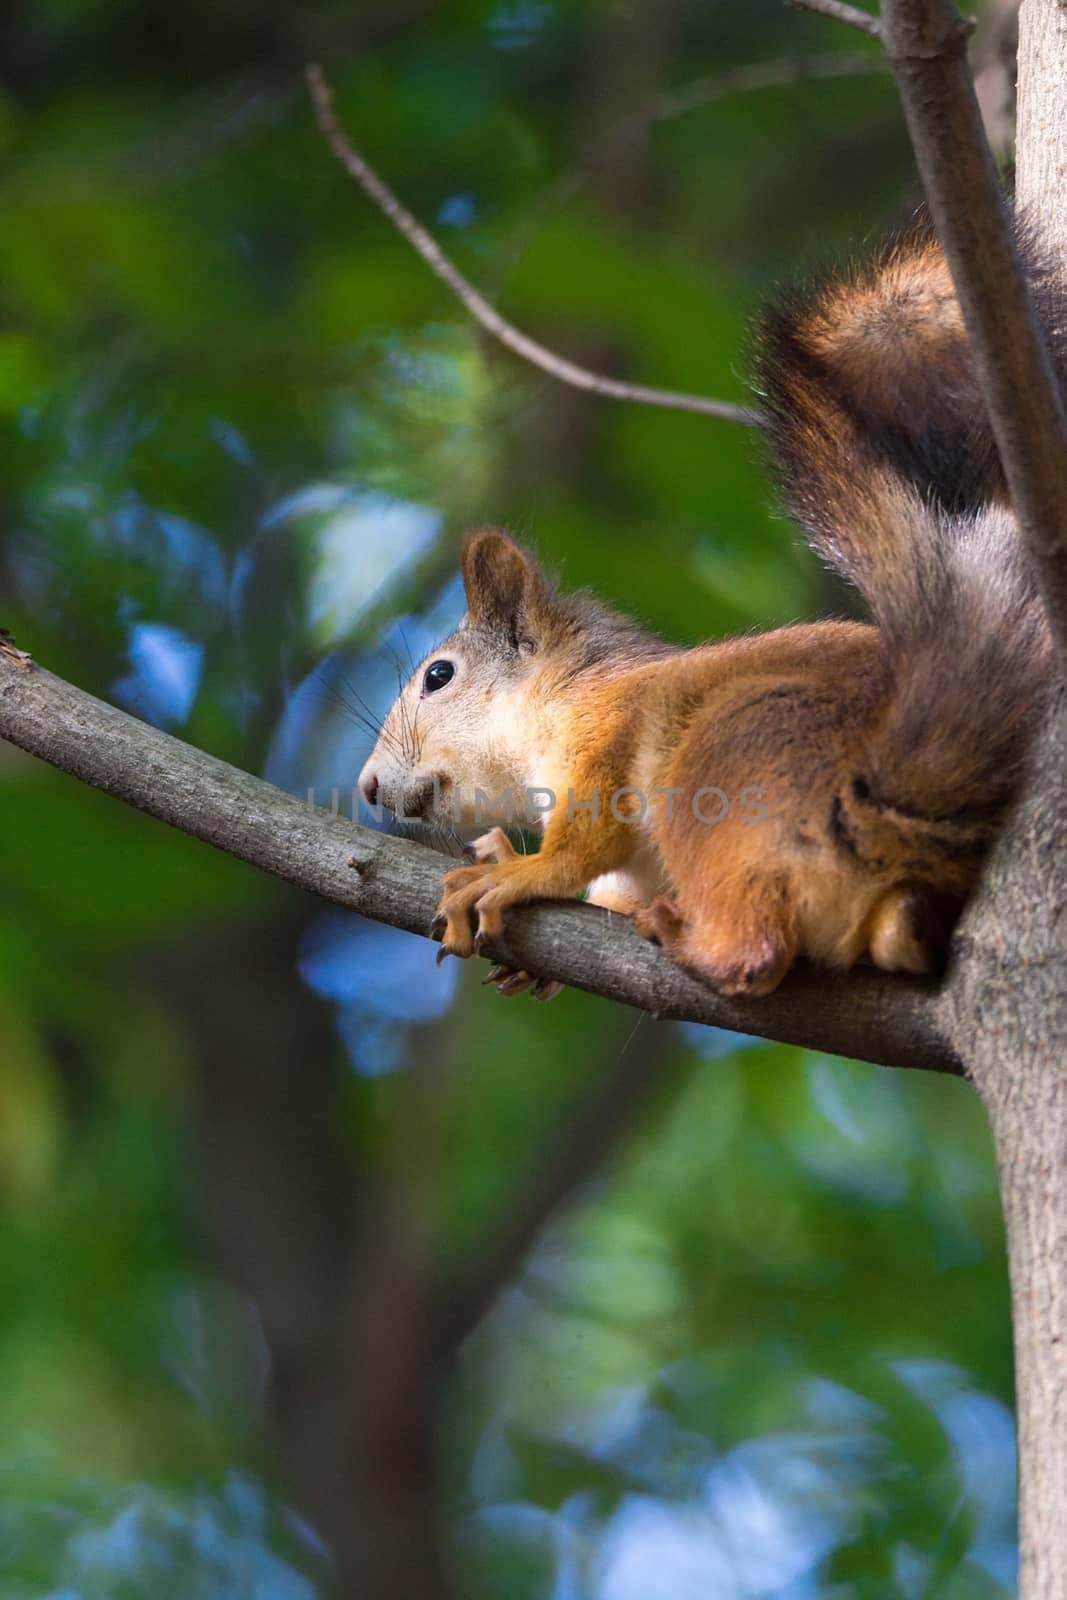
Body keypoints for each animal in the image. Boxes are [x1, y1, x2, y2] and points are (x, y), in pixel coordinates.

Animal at [358, 232, 1049, 998]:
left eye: (438, 676)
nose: (366, 786)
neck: (560, 695)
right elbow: (611, 881)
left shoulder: (605, 735)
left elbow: (586, 843)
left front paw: (518, 871)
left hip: (728, 759)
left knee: (757, 949)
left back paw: (688, 939)